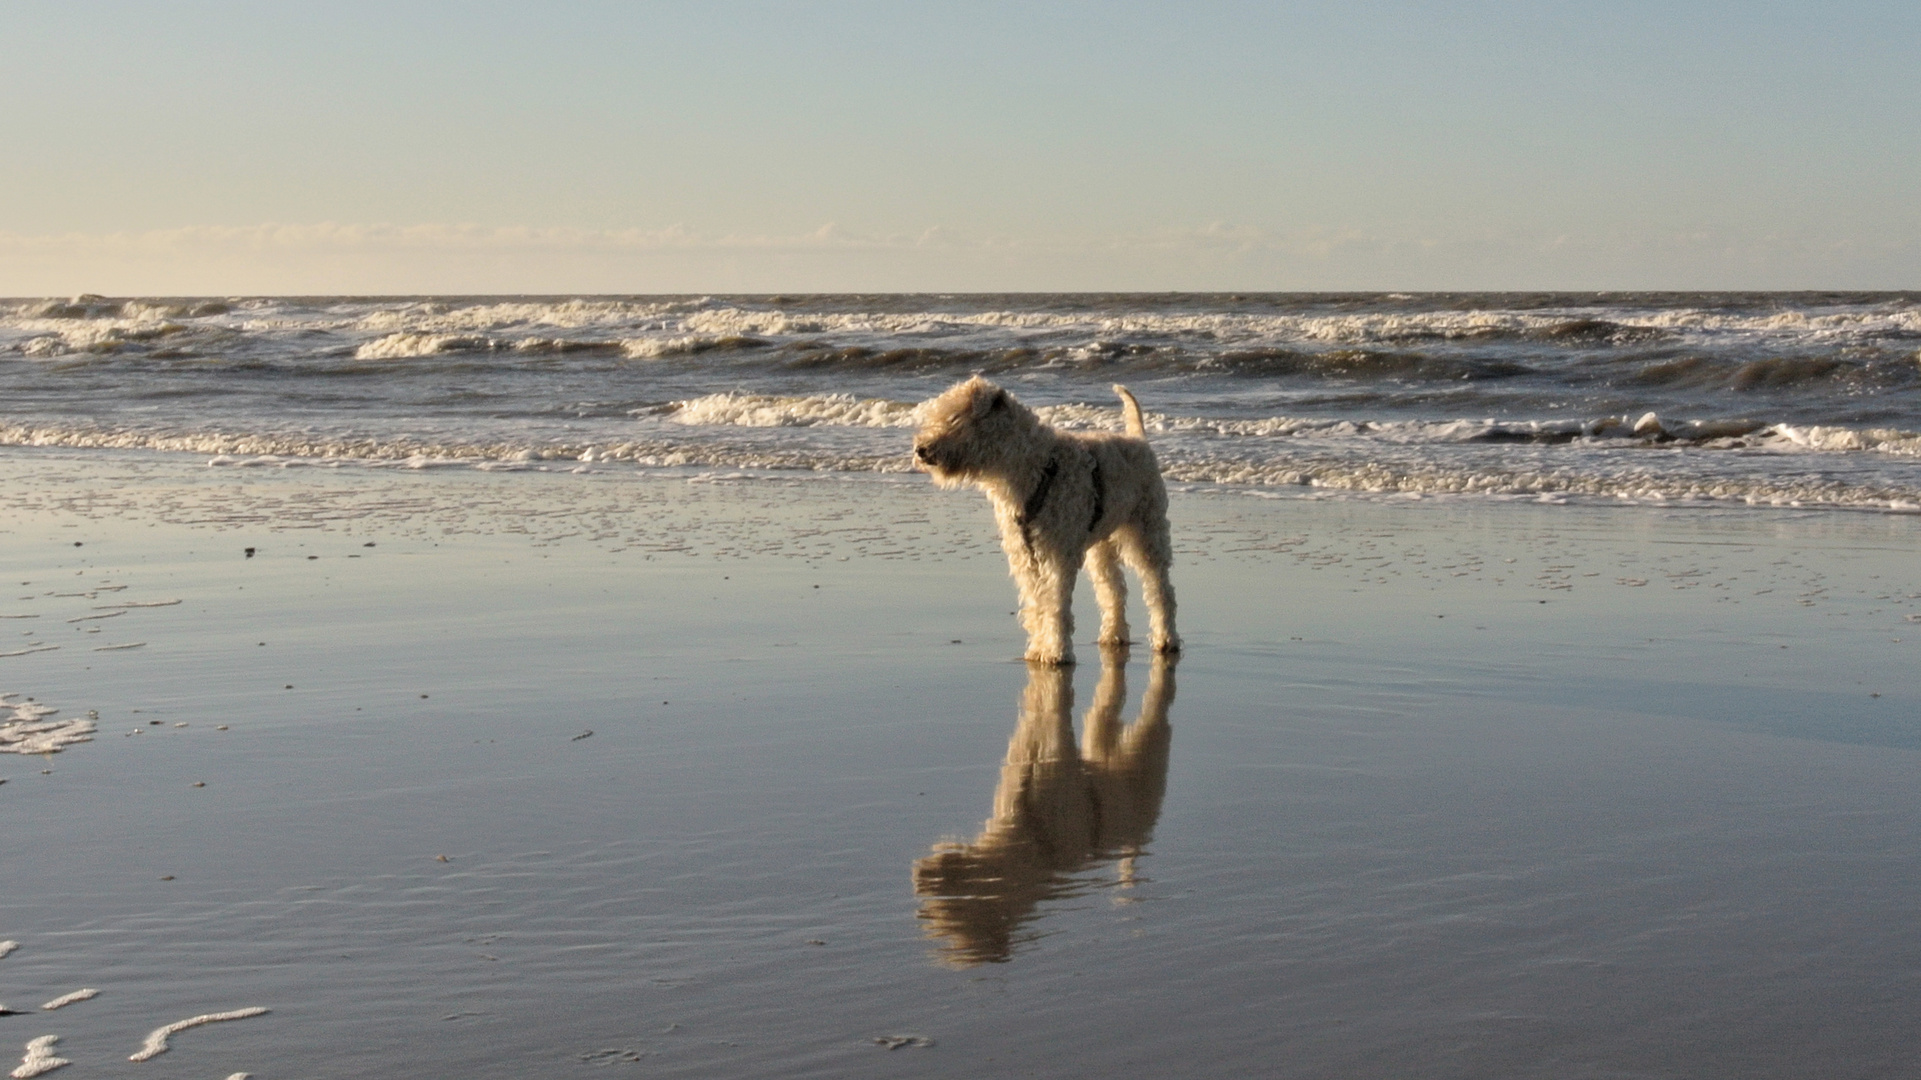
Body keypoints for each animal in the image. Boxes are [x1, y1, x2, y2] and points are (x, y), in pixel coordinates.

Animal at [910, 378, 1175, 664]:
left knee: (1160, 590)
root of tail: (1138, 439)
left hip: (1147, 532)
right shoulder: (1025, 556)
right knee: (1112, 589)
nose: (920, 450)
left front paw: (1057, 652)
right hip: (1100, 546)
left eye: (954, 418)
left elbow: (1055, 603)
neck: (1030, 467)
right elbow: (1037, 603)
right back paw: (1113, 636)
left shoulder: (1056, 554)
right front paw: (1038, 650)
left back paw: (1166, 639)